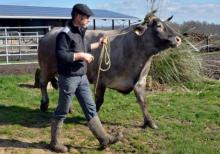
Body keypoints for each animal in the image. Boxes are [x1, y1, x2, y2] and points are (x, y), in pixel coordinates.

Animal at [35, 10, 180, 129]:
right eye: (158, 26)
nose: (178, 39)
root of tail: (50, 32)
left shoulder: (140, 81)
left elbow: (143, 101)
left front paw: (149, 122)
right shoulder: (101, 80)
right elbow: (98, 101)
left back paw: (69, 109)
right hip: (47, 67)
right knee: (43, 83)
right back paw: (44, 104)